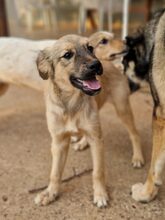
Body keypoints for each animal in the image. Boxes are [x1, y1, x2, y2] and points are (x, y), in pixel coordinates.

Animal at [34, 34, 109, 208]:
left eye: (90, 48)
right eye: (67, 55)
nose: (96, 65)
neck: (72, 104)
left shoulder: (97, 139)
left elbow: (98, 171)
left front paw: (100, 194)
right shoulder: (59, 142)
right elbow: (55, 172)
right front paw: (50, 193)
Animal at [89, 31, 144, 168]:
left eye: (113, 36)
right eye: (103, 41)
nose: (126, 42)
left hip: (122, 108)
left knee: (135, 134)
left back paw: (138, 157)